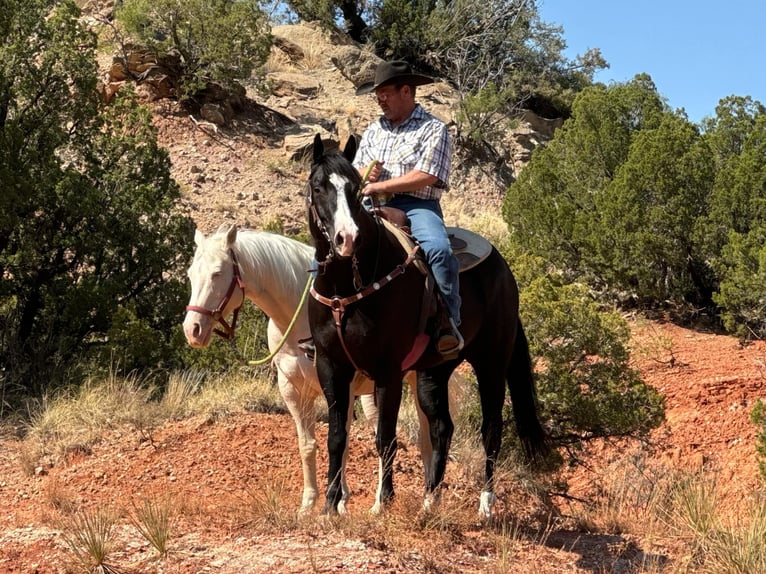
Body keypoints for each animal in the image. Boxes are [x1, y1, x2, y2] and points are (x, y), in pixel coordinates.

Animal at [182, 224, 425, 514]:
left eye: (218, 273)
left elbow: (341, 442)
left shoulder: (341, 387)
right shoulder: (293, 389)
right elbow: (308, 444)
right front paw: (311, 503)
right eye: (190, 274)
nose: (192, 330)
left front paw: (338, 503)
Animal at [306, 134, 548, 518]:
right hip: (434, 370)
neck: (346, 288)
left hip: (492, 362)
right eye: (318, 187)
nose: (348, 238)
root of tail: (503, 268)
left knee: (491, 428)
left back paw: (486, 504)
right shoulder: (331, 366)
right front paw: (330, 507)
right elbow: (337, 437)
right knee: (441, 427)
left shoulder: (387, 372)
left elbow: (385, 436)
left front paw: (382, 502)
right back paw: (429, 501)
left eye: (356, 188)